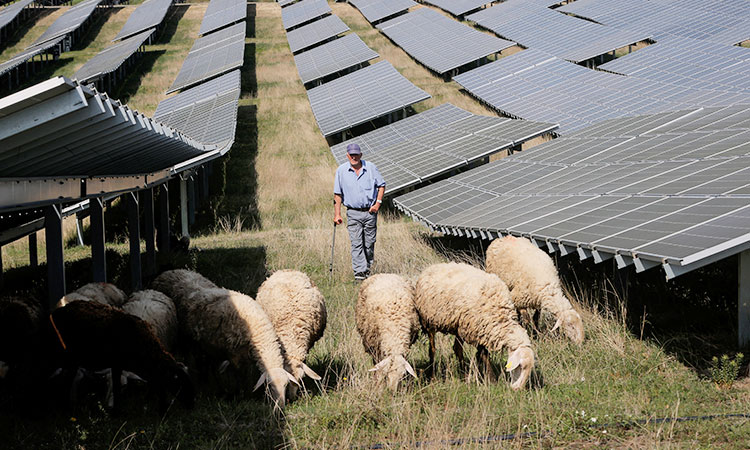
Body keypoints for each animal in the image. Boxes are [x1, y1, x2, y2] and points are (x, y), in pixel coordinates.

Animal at [42, 298, 195, 412]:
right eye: (180, 383)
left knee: (67, 379)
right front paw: (116, 411)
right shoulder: (116, 364)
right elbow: (116, 386)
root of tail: (57, 311)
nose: (191, 405)